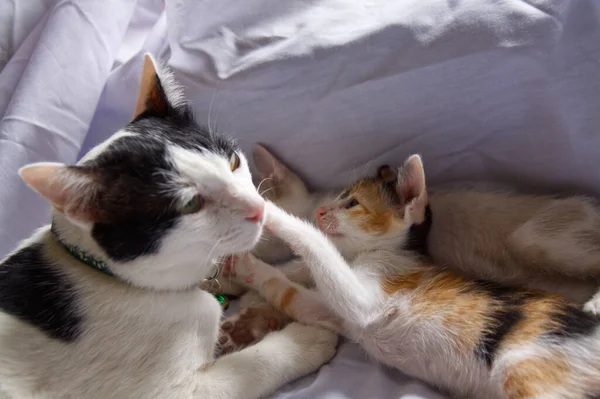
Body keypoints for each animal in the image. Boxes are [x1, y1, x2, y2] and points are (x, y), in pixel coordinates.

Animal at [0, 54, 338, 399]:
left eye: (232, 161)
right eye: (190, 205)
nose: (257, 209)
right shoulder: (169, 392)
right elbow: (250, 367)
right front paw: (306, 337)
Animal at [226, 155, 600, 399]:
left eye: (352, 204)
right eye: (338, 199)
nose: (320, 212)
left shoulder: (363, 299)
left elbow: (314, 245)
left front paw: (273, 216)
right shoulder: (336, 312)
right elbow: (288, 290)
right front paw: (244, 272)